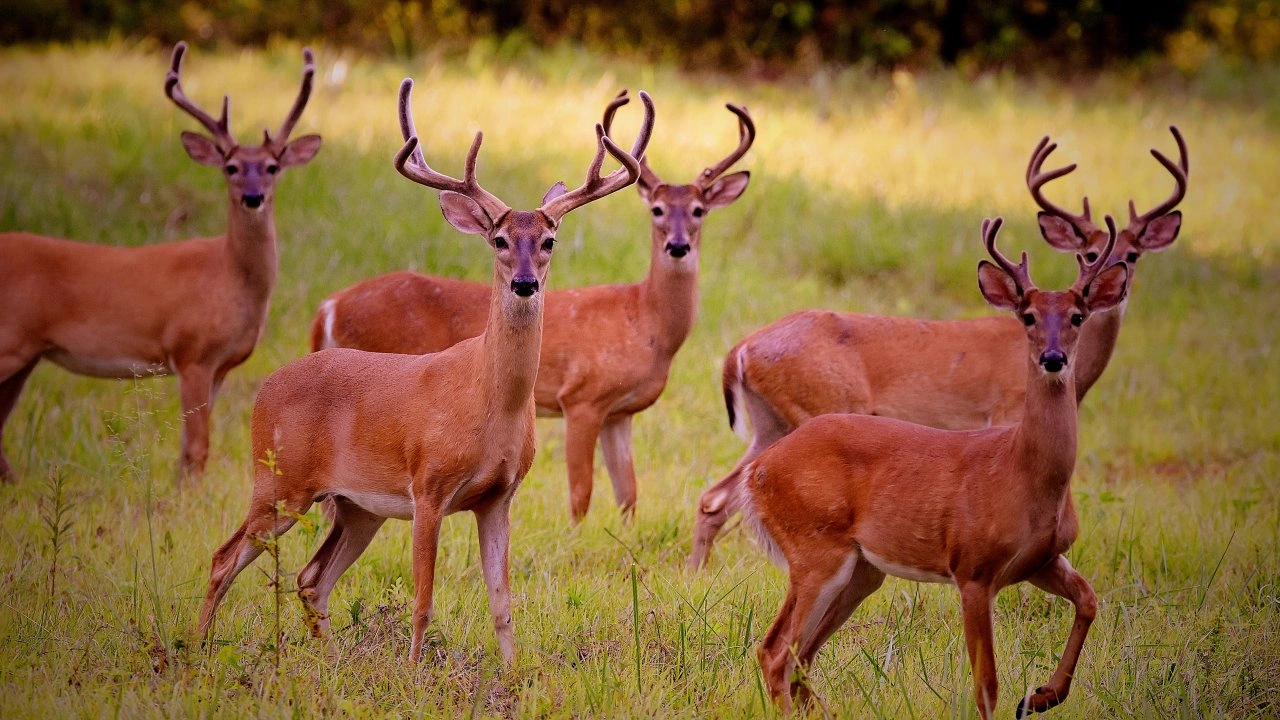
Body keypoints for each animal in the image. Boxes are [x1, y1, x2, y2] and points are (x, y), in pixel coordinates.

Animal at [0, 41, 321, 483]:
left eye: (272, 167)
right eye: (231, 167)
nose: (253, 197)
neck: (229, 279)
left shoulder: (219, 366)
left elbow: (188, 446)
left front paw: (180, 488)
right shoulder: (191, 353)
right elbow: (198, 447)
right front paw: (190, 490)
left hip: (24, 356)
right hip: (9, 340)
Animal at [196, 78, 654, 664]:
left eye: (548, 240)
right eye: (499, 240)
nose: (525, 283)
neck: (490, 403)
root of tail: (266, 391)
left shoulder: (499, 496)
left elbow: (503, 602)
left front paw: (512, 673)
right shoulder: (429, 487)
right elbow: (423, 599)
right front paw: (414, 671)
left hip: (355, 507)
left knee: (311, 578)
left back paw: (327, 659)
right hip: (280, 481)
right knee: (224, 558)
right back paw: (196, 648)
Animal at [309, 92, 753, 522]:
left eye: (698, 210)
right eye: (657, 210)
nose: (678, 245)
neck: (646, 322)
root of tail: (329, 305)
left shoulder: (620, 412)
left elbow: (628, 494)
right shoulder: (582, 397)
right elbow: (581, 492)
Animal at [688, 127, 1187, 569]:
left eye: (1134, 253)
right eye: (1088, 253)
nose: (1117, 282)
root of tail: (741, 349)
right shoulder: (1004, 409)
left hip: (769, 421)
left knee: (716, 496)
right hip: (815, 405)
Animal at [743, 216, 1130, 719]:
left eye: (1077, 316)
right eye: (1027, 316)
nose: (1053, 358)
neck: (1022, 474)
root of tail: (759, 470)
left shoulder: (1042, 559)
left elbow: (1089, 599)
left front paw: (1042, 695)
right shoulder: (973, 568)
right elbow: (987, 683)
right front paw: (1028, 696)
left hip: (862, 570)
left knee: (800, 655)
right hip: (815, 548)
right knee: (776, 651)